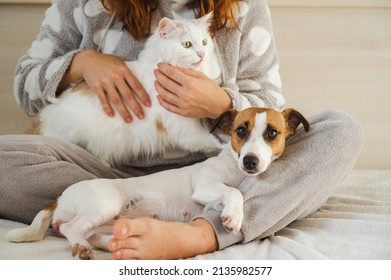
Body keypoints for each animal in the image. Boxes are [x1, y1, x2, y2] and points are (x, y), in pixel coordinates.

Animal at [6, 106, 310, 260]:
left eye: (272, 133)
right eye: (240, 131)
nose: (250, 161)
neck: (236, 168)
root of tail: (59, 198)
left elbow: (232, 193)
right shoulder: (205, 187)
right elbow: (234, 192)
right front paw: (233, 217)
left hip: (106, 229)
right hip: (103, 204)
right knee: (71, 228)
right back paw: (80, 246)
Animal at [40, 13, 225, 166]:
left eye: (204, 42)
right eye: (187, 45)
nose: (202, 54)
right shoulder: (184, 127)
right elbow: (211, 142)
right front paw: (225, 150)